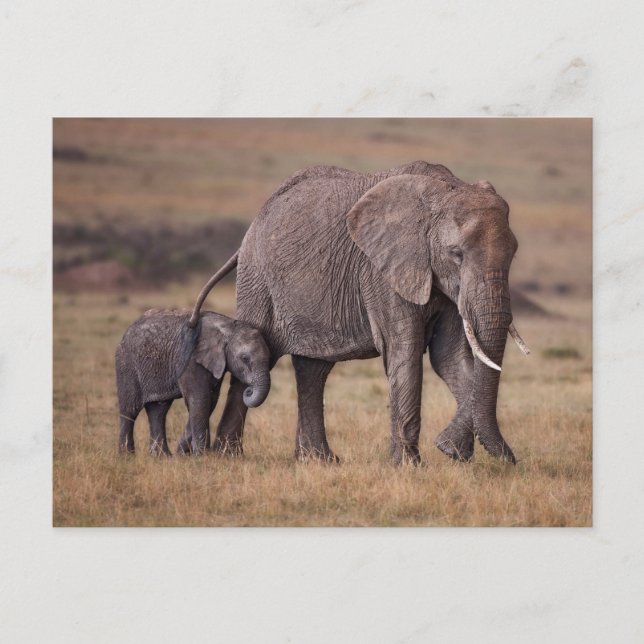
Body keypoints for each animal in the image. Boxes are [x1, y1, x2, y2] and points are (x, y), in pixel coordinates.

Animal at [115, 308, 271, 455]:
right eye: (245, 358)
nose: (248, 390)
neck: (228, 328)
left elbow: (210, 401)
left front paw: (184, 453)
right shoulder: (190, 359)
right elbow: (200, 399)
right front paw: (202, 455)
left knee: (158, 410)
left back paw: (162, 457)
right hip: (126, 364)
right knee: (130, 410)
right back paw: (127, 456)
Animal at [190, 161, 529, 465]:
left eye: (513, 254)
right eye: (456, 254)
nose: (511, 461)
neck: (445, 190)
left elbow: (449, 358)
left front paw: (458, 453)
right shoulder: (381, 272)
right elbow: (404, 351)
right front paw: (409, 466)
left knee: (313, 370)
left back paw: (318, 461)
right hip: (257, 280)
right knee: (256, 351)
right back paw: (228, 455)